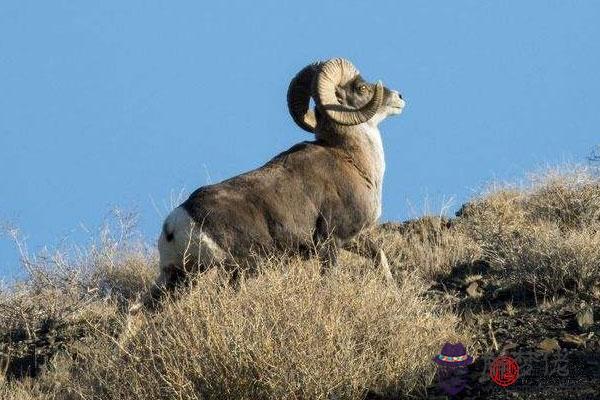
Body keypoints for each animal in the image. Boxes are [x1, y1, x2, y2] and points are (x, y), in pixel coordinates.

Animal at [150, 57, 406, 304]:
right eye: (361, 88)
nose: (400, 98)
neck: (354, 160)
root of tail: (176, 222)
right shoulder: (330, 243)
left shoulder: (353, 237)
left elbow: (379, 255)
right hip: (235, 270)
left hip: (179, 278)